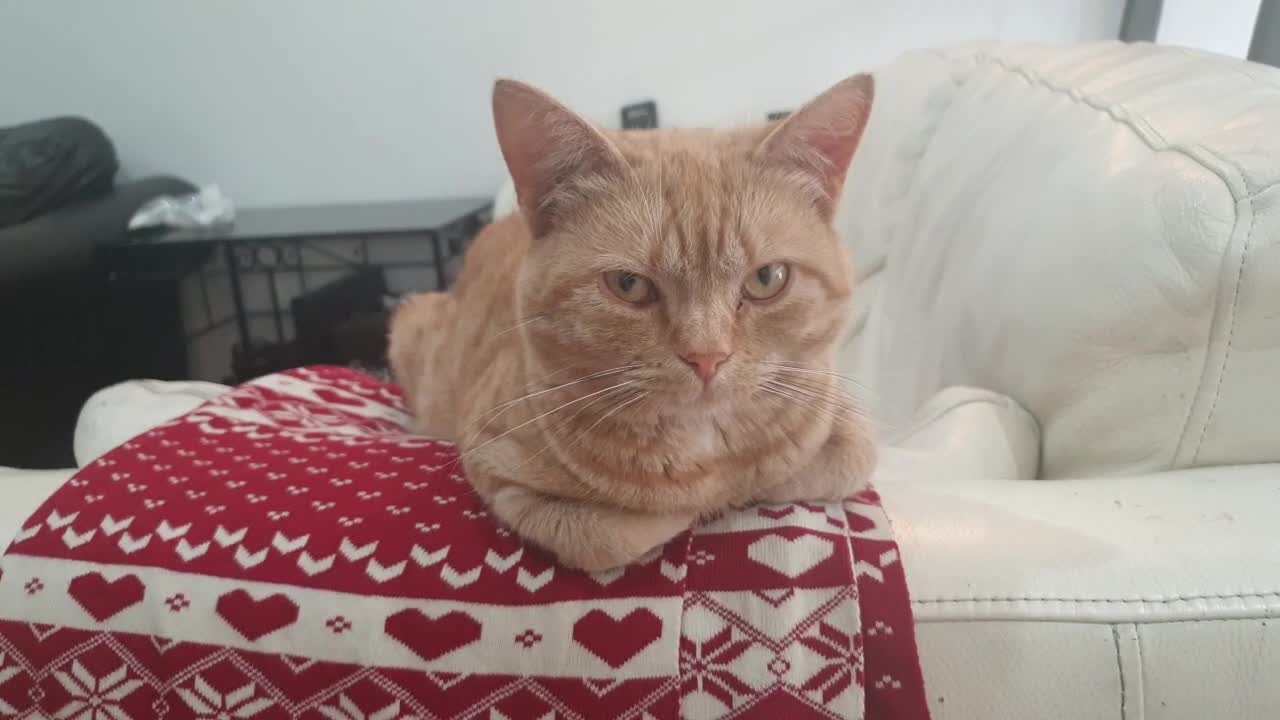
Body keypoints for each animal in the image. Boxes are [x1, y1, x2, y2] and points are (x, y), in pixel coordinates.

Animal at [384, 73, 875, 566]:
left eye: (767, 279)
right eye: (628, 284)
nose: (707, 357)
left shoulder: (839, 412)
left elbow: (835, 461)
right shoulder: (494, 464)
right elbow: (615, 533)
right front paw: (694, 505)